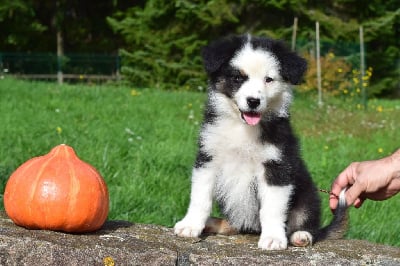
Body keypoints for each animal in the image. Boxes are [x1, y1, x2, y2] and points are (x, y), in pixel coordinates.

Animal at [175, 34, 346, 249]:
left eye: (268, 79)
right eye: (238, 78)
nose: (253, 101)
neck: (242, 128)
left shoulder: (277, 166)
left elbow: (272, 208)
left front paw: (273, 238)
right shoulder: (208, 157)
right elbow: (200, 197)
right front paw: (190, 225)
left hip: (307, 194)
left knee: (306, 220)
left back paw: (301, 235)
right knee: (237, 225)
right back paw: (214, 223)